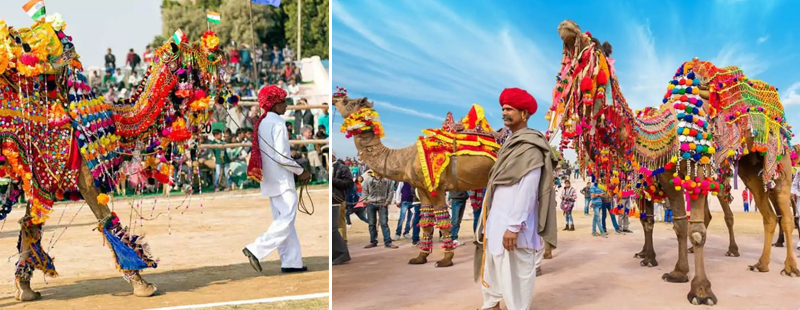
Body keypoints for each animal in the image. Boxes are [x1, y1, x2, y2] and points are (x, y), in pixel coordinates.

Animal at [0, 15, 225, 302]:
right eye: (186, 60)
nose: (215, 52)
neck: (115, 120)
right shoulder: (84, 174)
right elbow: (107, 220)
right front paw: (142, 283)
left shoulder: (43, 178)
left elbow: (30, 224)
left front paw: (25, 289)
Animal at [334, 87, 510, 266]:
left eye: (347, 101)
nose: (335, 97)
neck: (406, 158)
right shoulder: (422, 188)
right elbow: (426, 221)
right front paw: (420, 257)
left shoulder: (438, 188)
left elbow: (443, 221)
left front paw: (446, 260)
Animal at [552, 19, 792, 306]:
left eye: (594, 44)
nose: (567, 26)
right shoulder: (666, 181)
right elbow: (677, 224)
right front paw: (676, 271)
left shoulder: (695, 172)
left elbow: (695, 230)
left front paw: (701, 291)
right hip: (749, 168)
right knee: (768, 214)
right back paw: (761, 264)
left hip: (775, 158)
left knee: (780, 212)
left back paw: (785, 266)